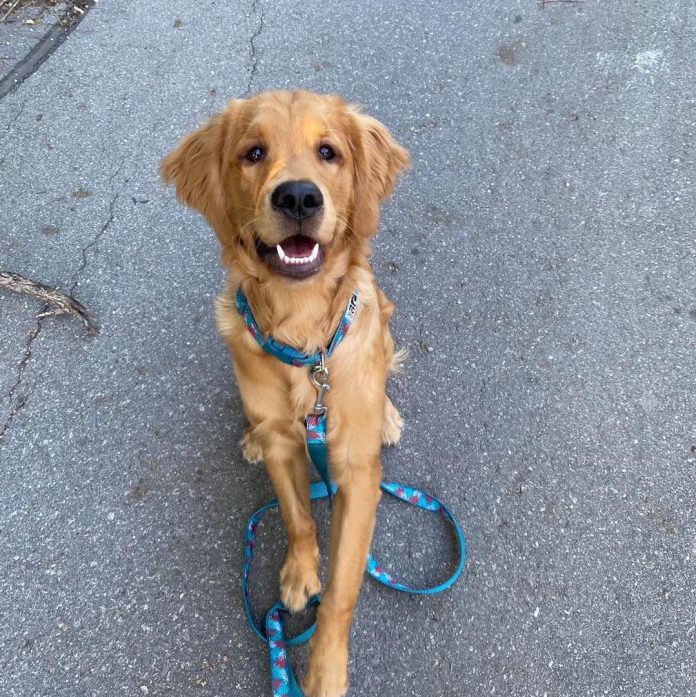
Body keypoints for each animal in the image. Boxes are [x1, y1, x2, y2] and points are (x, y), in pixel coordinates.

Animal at [160, 89, 410, 692]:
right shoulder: (282, 439)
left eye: (328, 152)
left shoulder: (356, 472)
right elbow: (297, 517)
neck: (302, 334)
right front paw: (299, 572)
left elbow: (343, 590)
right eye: (253, 153)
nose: (298, 196)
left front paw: (323, 671)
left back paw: (389, 417)